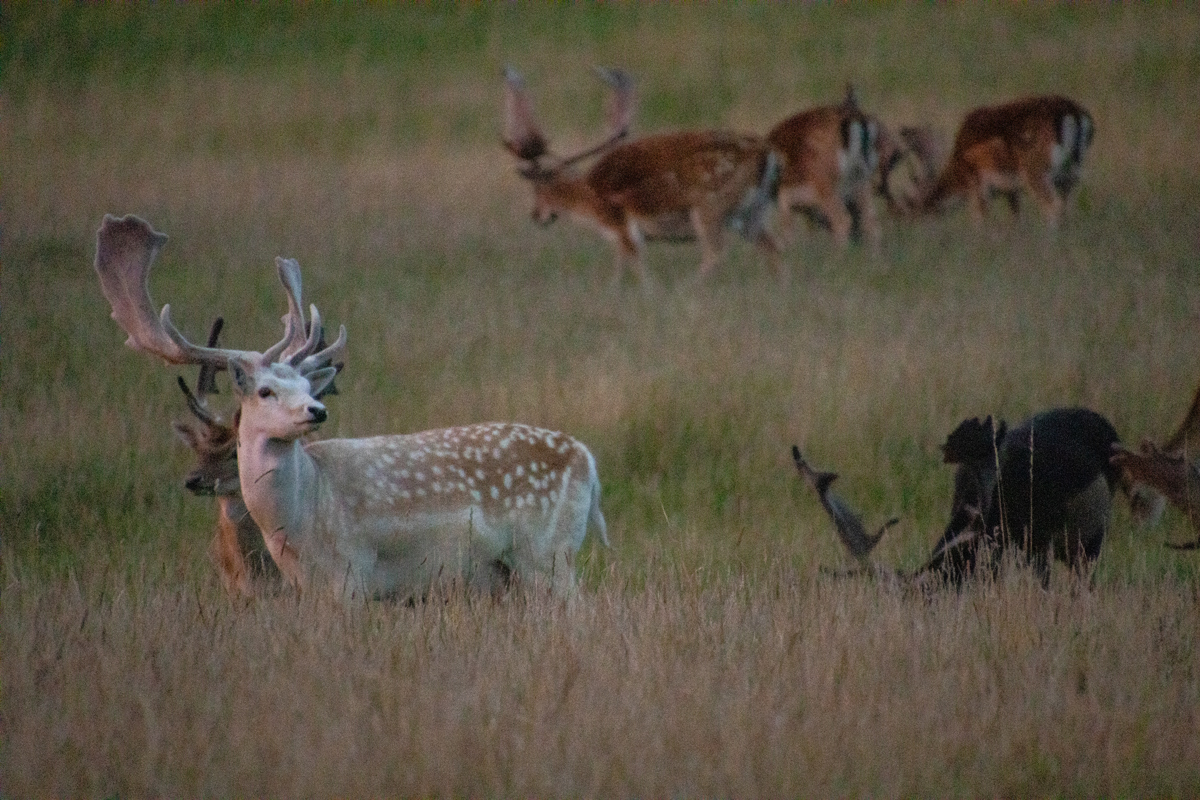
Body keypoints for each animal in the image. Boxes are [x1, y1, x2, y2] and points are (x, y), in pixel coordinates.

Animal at [95, 214, 609, 601]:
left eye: (308, 384)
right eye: (265, 391)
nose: (315, 412)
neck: (299, 521)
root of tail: (587, 459)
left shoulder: (350, 575)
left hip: (547, 556)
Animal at [503, 66, 784, 285]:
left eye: (538, 189)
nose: (536, 215)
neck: (590, 201)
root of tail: (767, 153)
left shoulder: (622, 226)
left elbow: (637, 270)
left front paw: (647, 293)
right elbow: (620, 270)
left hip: (709, 208)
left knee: (716, 253)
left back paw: (686, 288)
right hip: (752, 213)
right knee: (774, 249)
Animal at [766, 85, 887, 254]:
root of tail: (858, 121)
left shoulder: (786, 200)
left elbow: (788, 233)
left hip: (826, 185)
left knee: (842, 220)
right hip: (862, 181)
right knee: (872, 223)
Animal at [895, 94, 1094, 228]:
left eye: (914, 214)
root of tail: (1074, 113)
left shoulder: (977, 184)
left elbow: (979, 221)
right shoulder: (1011, 188)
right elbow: (1017, 218)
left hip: (1036, 169)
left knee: (1053, 207)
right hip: (1072, 174)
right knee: (1069, 207)